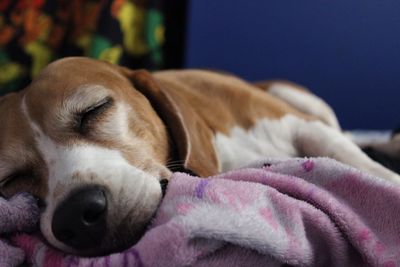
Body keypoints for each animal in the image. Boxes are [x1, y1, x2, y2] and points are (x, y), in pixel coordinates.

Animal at [0, 57, 400, 256]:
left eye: (93, 110)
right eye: (11, 178)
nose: (74, 215)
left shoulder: (301, 126)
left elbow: (350, 157)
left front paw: (387, 176)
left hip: (299, 99)